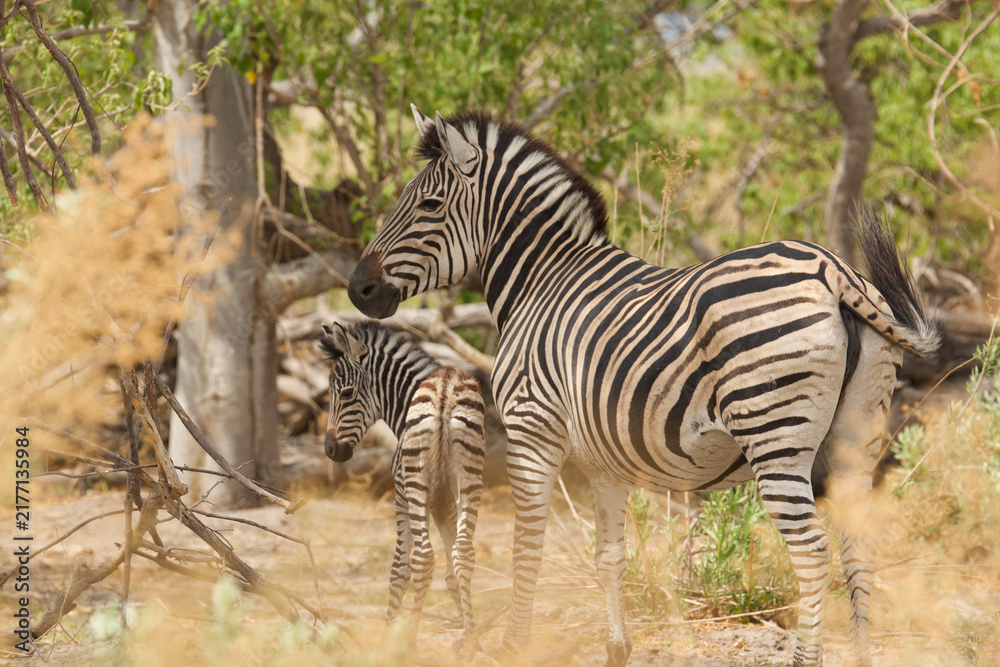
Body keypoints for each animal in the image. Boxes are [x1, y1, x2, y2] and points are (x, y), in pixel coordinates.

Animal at [319, 320, 486, 647]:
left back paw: (408, 642)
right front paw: (468, 632)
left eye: (346, 393)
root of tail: (445, 391)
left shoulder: (401, 492)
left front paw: (388, 638)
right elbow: (451, 571)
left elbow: (399, 570)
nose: (330, 450)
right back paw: (471, 645)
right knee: (463, 553)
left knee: (422, 558)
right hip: (470, 477)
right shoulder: (443, 502)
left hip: (414, 481)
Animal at [346, 107, 940, 667]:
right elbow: (609, 555)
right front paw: (617, 649)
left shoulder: (531, 431)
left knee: (812, 551)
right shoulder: (604, 461)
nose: (358, 289)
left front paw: (514, 645)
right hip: (856, 435)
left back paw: (803, 658)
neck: (541, 283)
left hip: (776, 433)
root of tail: (830, 269)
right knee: (857, 545)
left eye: (428, 205)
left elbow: (526, 546)